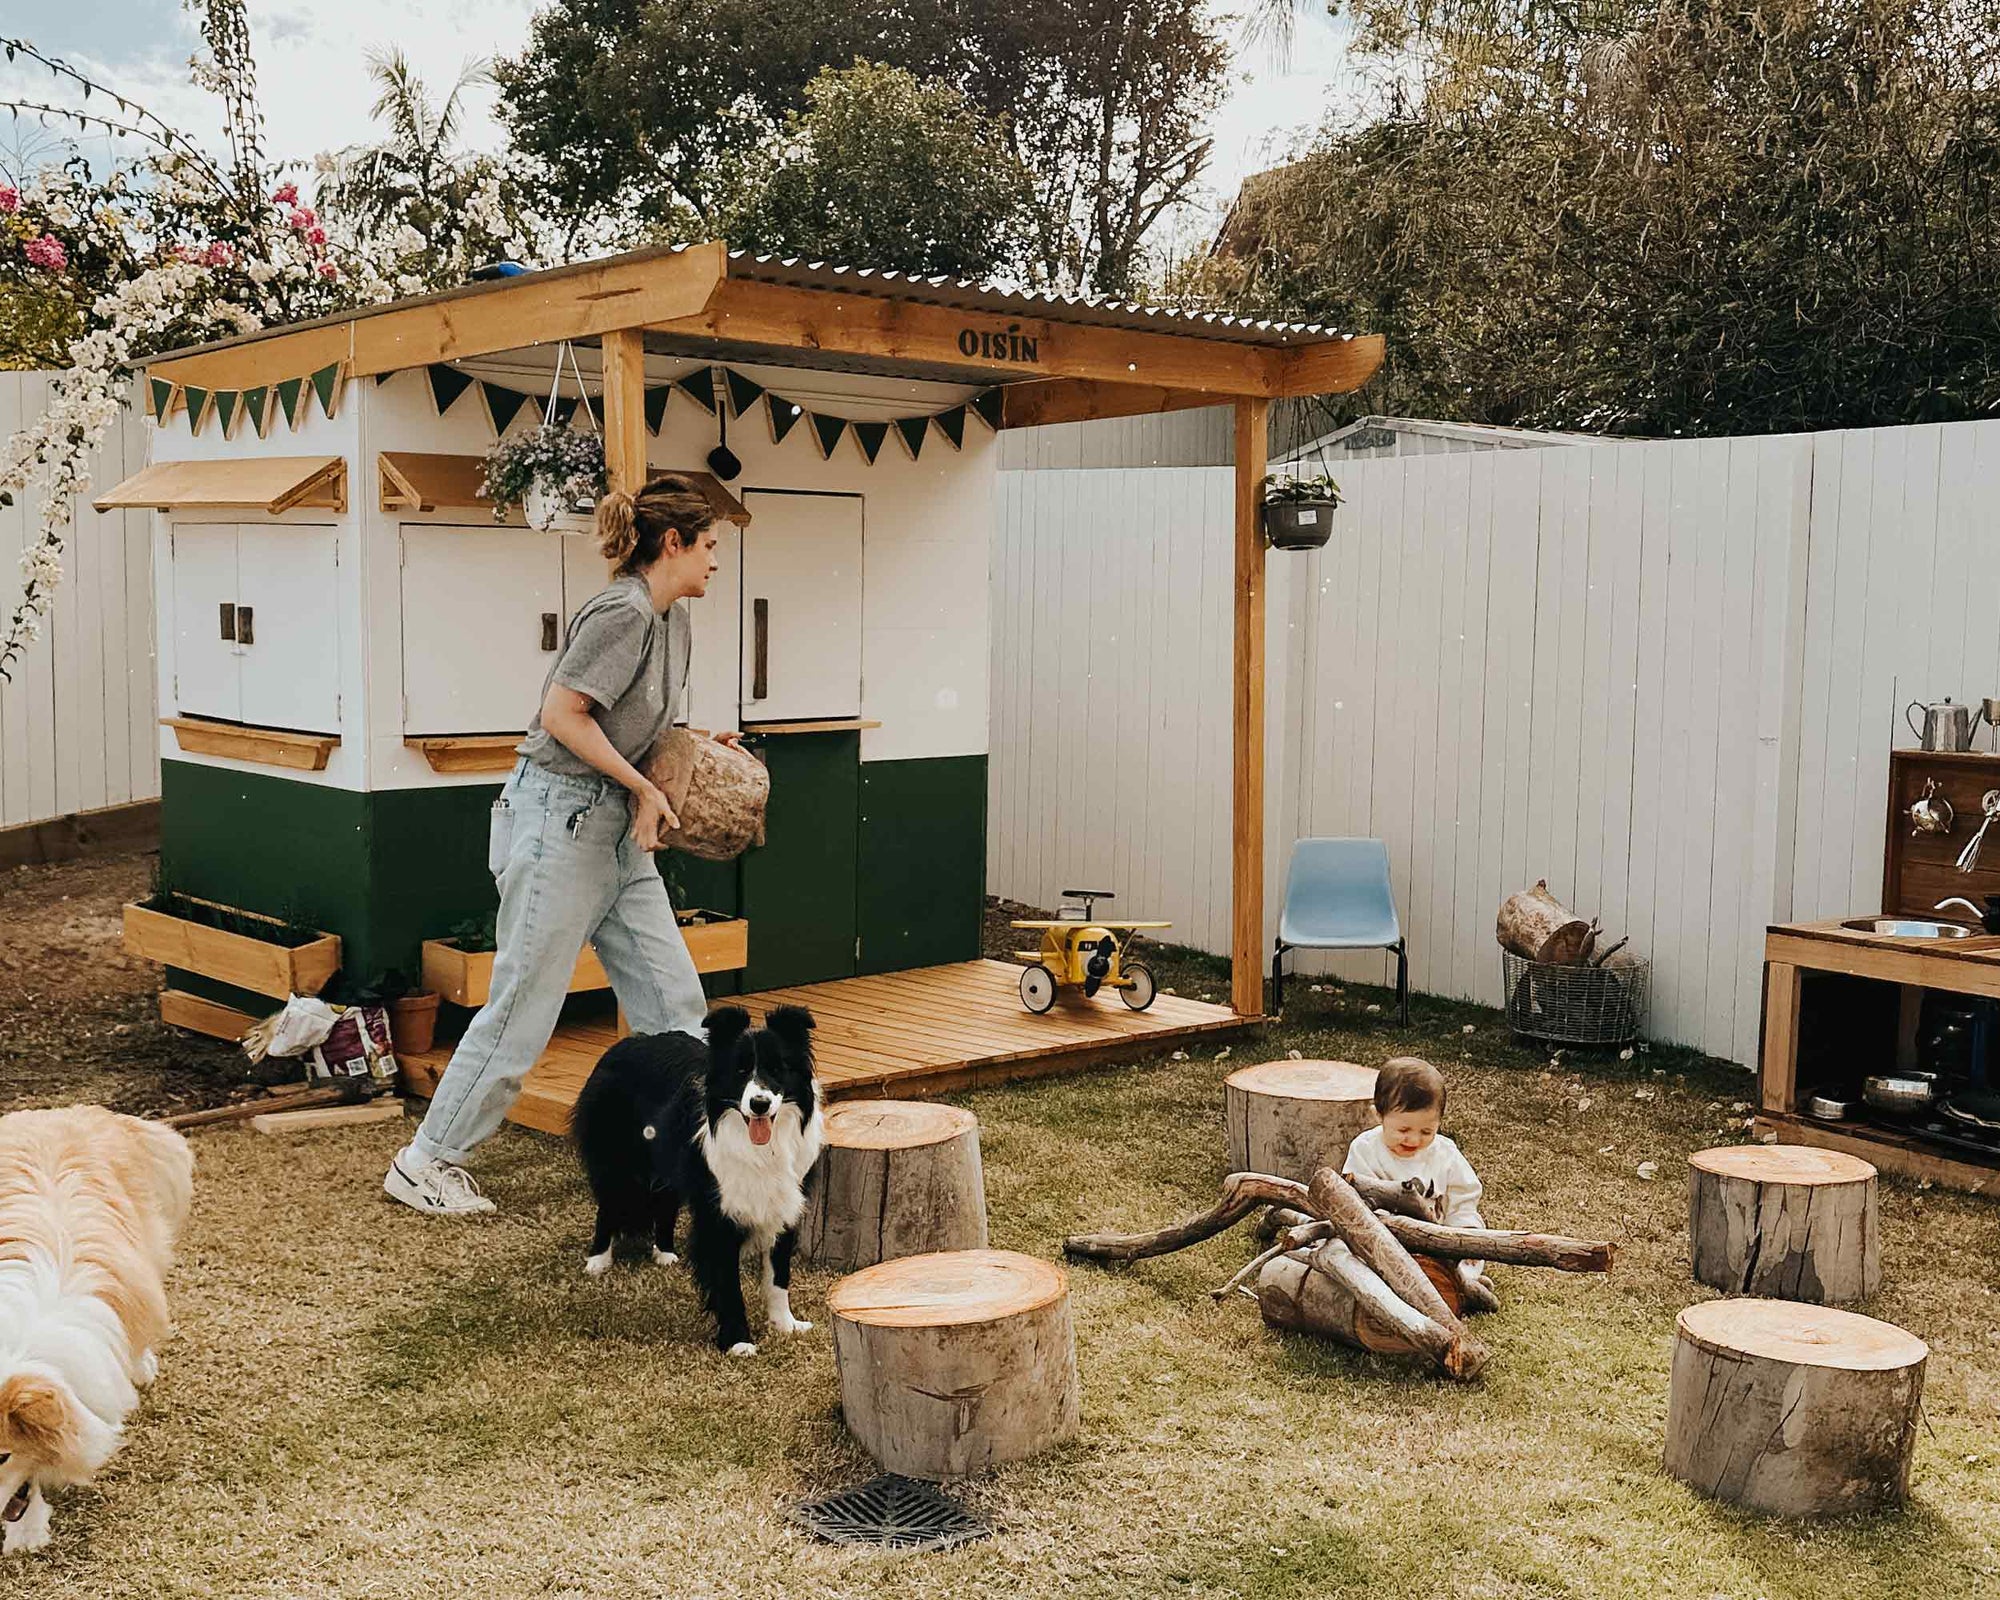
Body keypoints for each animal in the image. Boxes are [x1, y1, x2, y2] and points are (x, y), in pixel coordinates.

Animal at [576, 1008, 824, 1360]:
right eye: (740, 1070)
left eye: (778, 1069)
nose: (760, 1104)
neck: (760, 1146)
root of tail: (625, 1043)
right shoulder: (717, 1218)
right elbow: (729, 1286)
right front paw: (738, 1341)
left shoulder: (784, 1206)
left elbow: (778, 1277)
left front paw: (785, 1325)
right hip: (615, 1163)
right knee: (608, 1206)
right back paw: (598, 1260)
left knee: (664, 1204)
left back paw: (665, 1252)